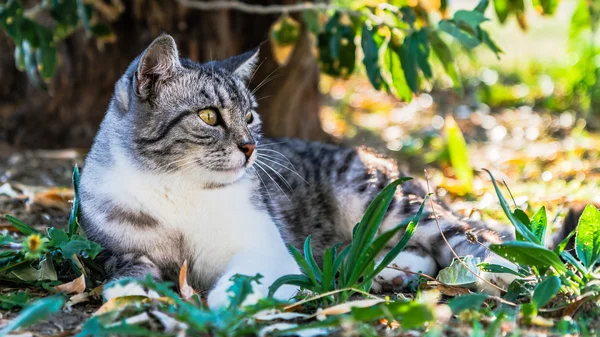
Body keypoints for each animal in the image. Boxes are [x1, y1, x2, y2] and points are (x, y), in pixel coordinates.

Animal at [79, 34, 572, 308]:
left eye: (250, 115)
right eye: (208, 116)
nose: (250, 146)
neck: (179, 188)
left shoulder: (265, 245)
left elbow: (241, 277)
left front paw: (231, 300)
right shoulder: (115, 244)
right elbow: (126, 269)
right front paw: (129, 295)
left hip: (380, 199)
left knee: (469, 238)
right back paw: (385, 271)